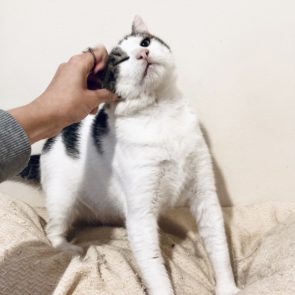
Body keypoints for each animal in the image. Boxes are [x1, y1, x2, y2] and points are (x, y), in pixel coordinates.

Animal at [19, 15, 240, 295]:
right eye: (121, 60)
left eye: (145, 42)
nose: (143, 53)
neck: (160, 113)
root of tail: (51, 142)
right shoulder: (141, 214)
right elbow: (154, 266)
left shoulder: (205, 194)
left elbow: (218, 245)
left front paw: (228, 287)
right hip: (62, 198)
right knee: (52, 230)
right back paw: (69, 248)